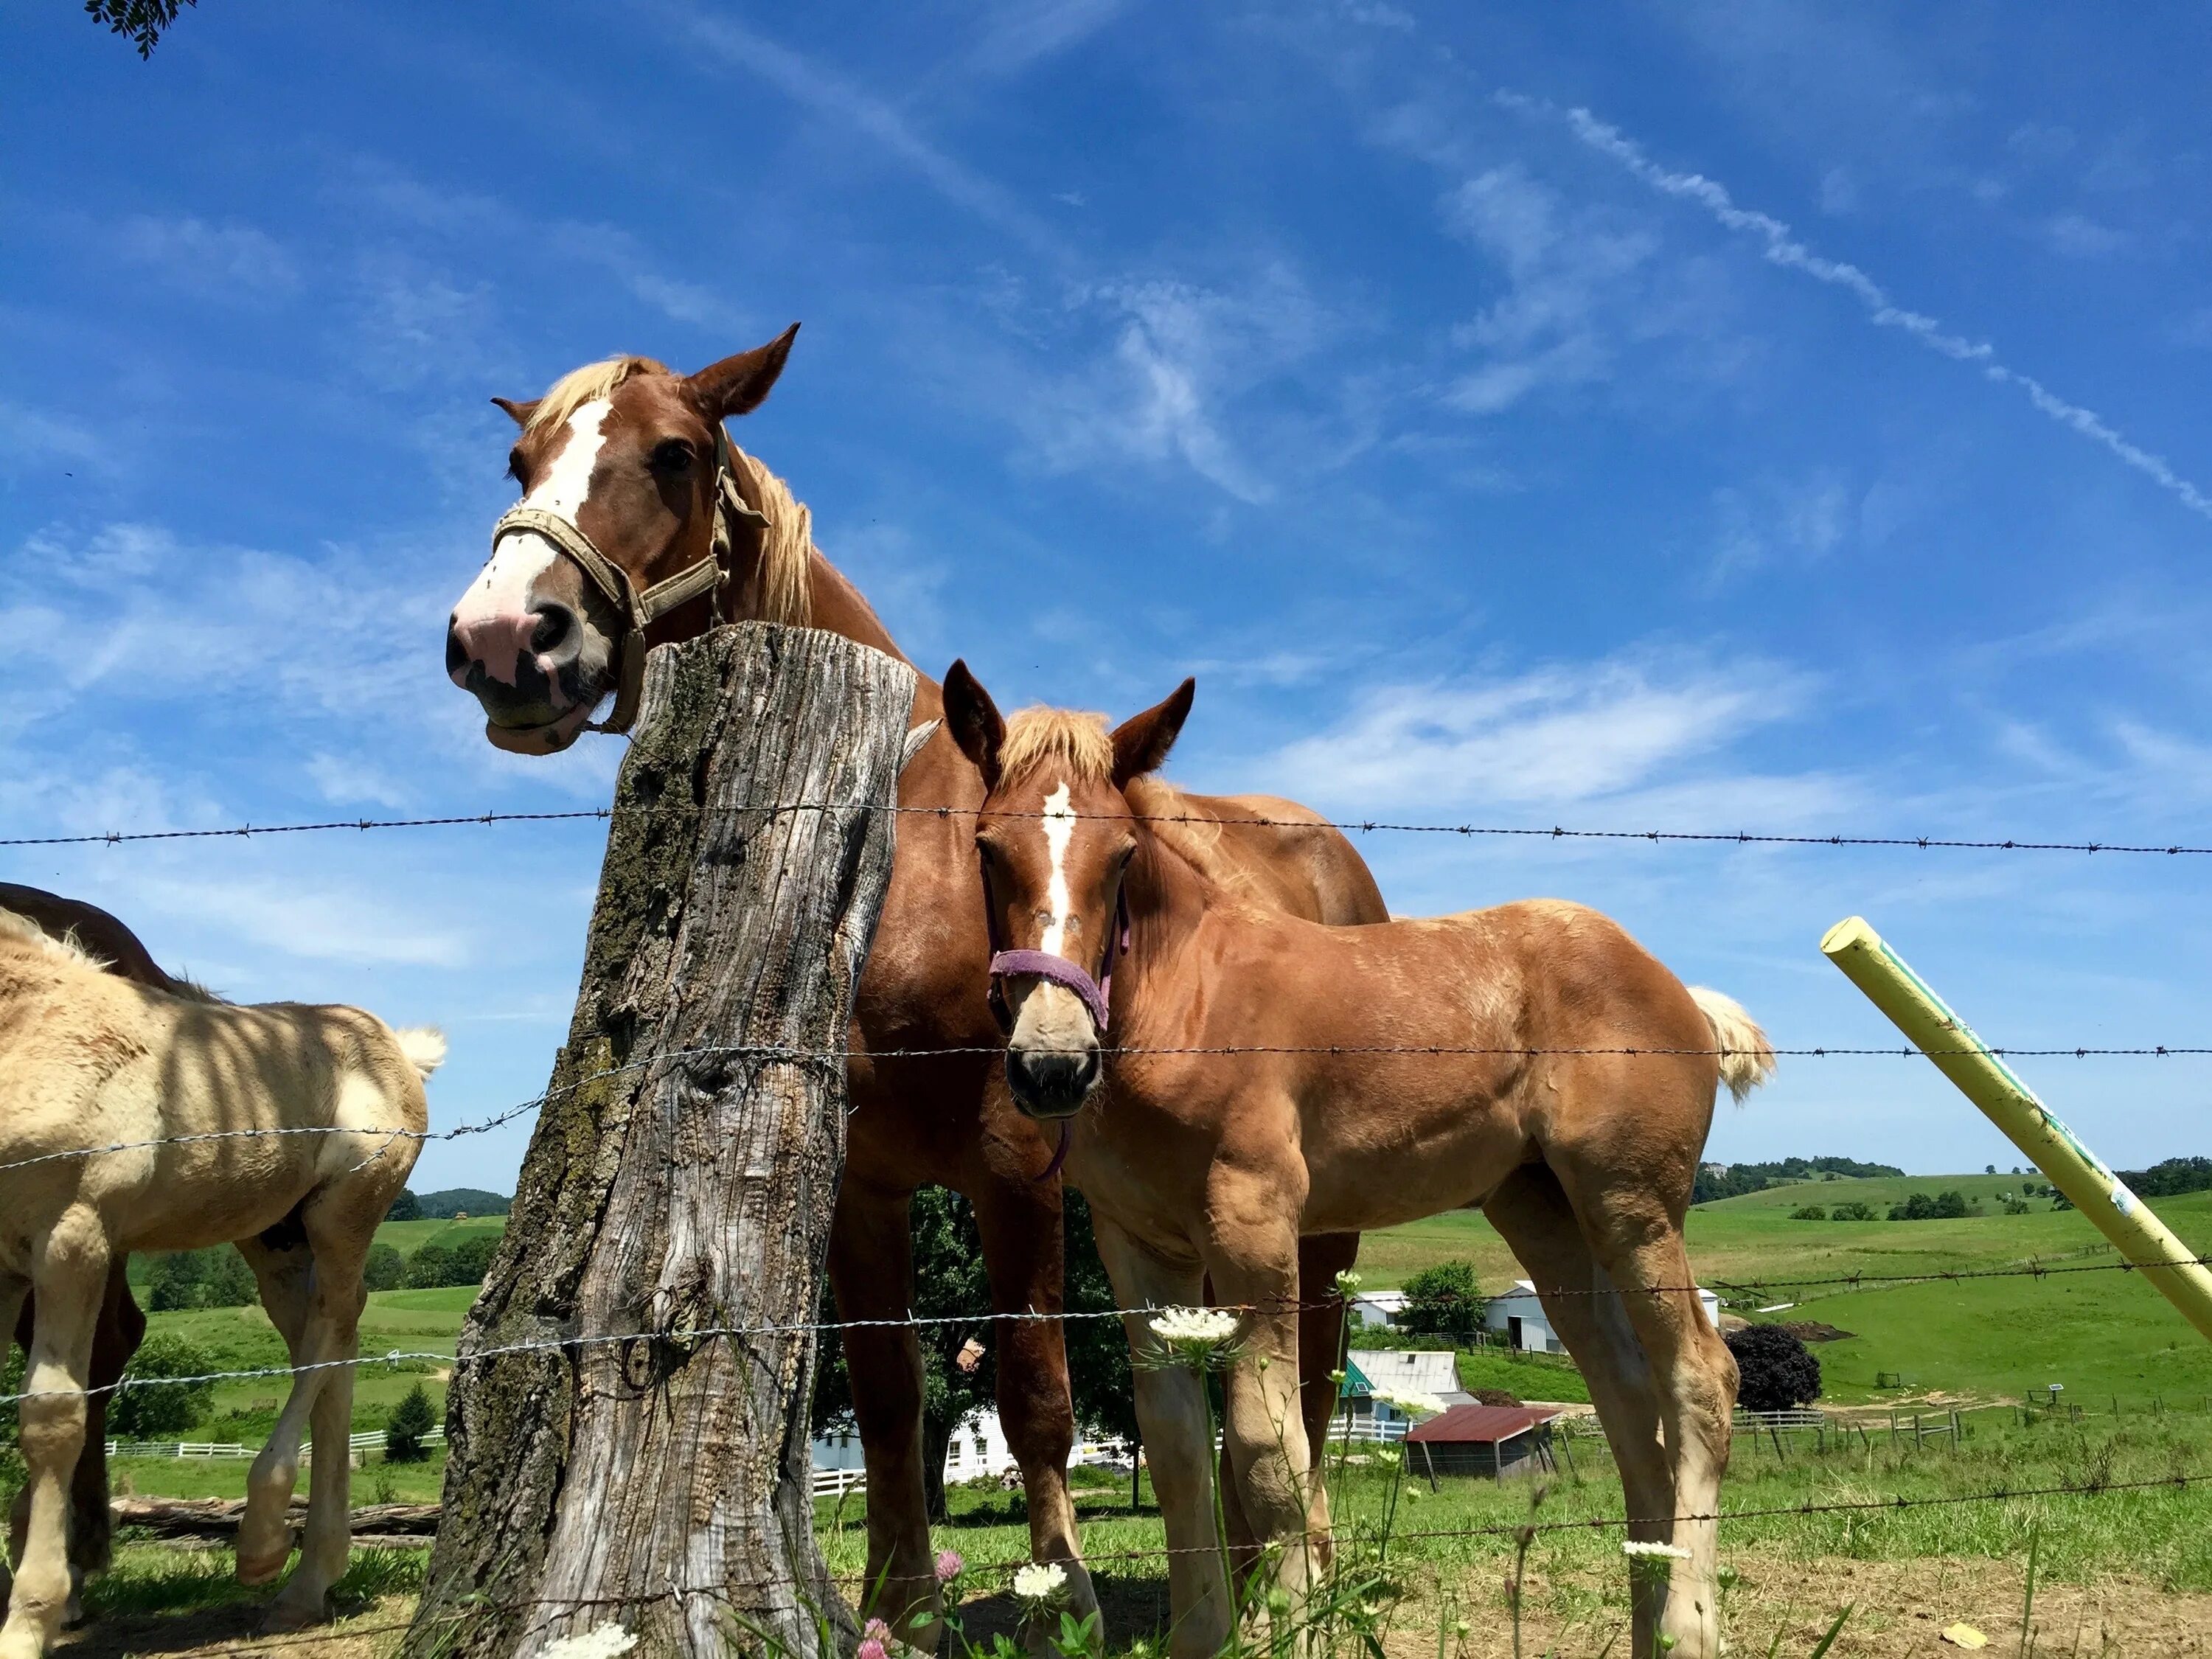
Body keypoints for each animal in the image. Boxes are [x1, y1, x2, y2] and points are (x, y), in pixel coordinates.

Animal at [0, 911, 445, 1659]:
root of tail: (397, 1048)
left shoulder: (74, 1235)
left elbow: (52, 1416)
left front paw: (29, 1621)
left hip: (343, 1212)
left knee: (330, 1330)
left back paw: (265, 1544)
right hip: (277, 1237)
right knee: (333, 1346)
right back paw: (308, 1583)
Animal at [440, 332, 1389, 1646]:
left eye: (673, 453)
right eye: (519, 459)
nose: (501, 637)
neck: (904, 856)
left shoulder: (1016, 1163)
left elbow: (1037, 1386)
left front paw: (1059, 1594)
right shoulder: (859, 1185)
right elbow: (892, 1394)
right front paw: (905, 1606)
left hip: (1320, 1228)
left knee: (1303, 1373)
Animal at [947, 672, 1778, 1659]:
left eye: (1121, 856)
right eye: (987, 847)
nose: (1052, 1064)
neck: (1186, 997)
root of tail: (1674, 984)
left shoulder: (1255, 1220)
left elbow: (1266, 1450)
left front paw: (1294, 1625)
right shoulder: (1138, 1247)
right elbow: (1179, 1449)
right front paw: (1207, 1634)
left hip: (1632, 1204)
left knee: (1701, 1378)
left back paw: (1688, 1624)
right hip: (1543, 1213)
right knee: (1624, 1401)